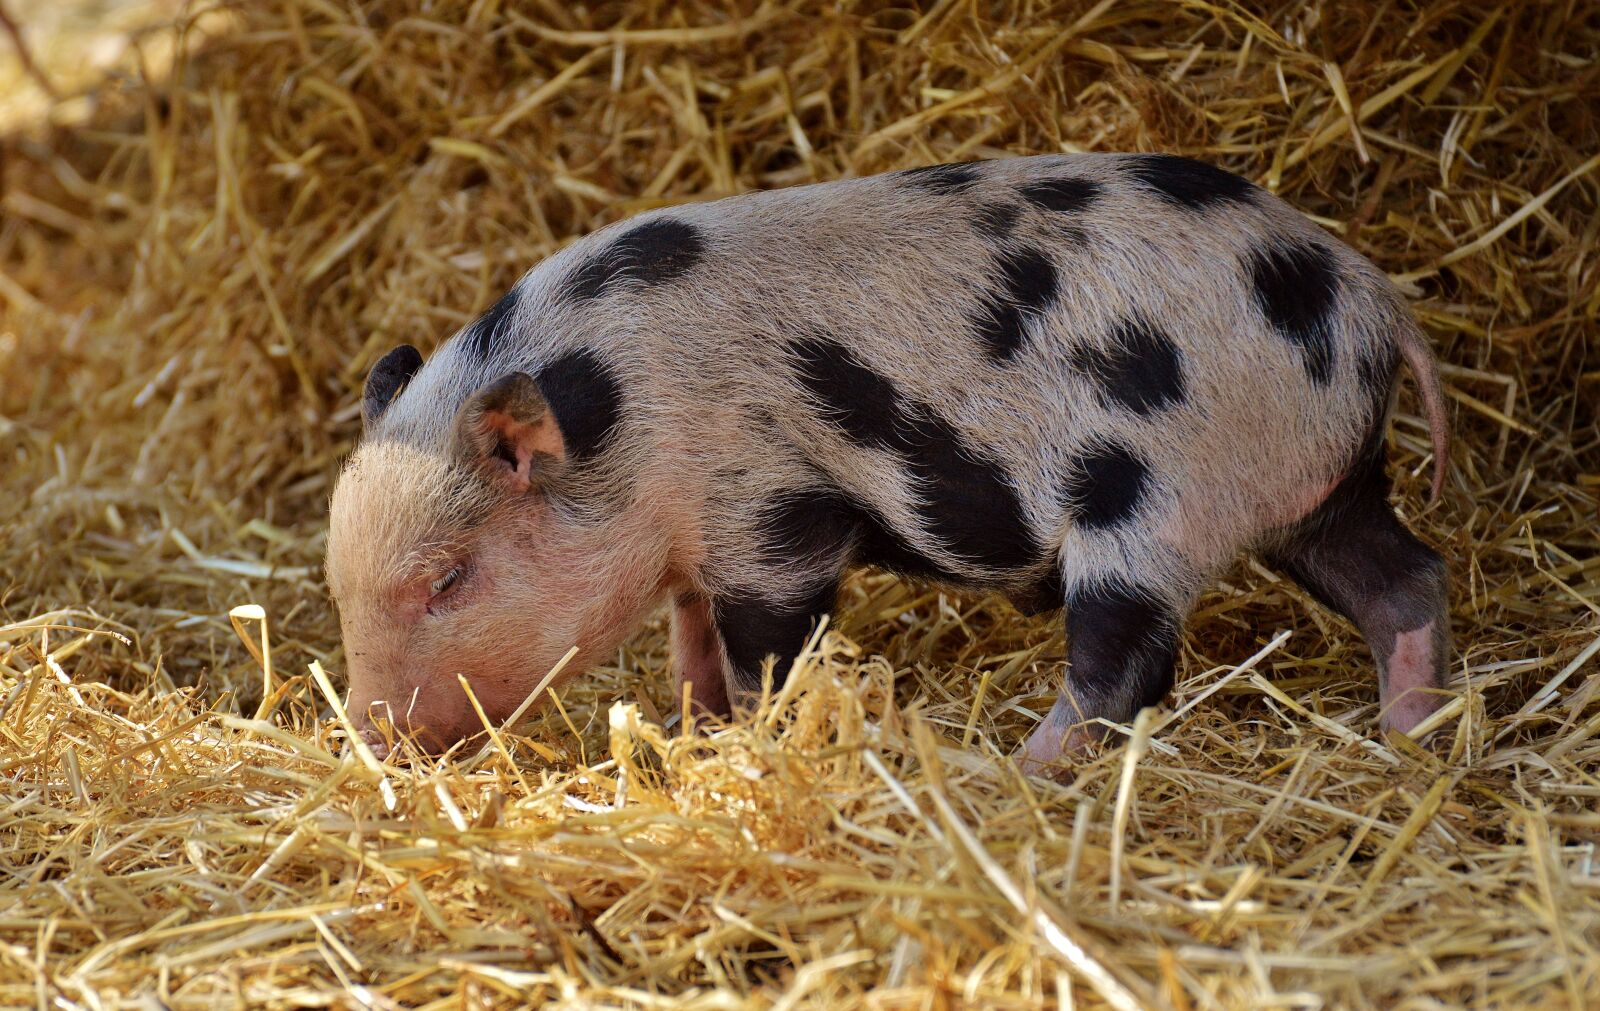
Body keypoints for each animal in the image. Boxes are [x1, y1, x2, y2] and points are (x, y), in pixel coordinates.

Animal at [323, 153, 1451, 773]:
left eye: (448, 578)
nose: (375, 740)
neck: (627, 423)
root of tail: (1367, 300)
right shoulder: (695, 549)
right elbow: (691, 641)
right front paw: (694, 731)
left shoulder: (769, 514)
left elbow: (767, 648)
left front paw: (757, 739)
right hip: (1314, 486)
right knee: (1407, 576)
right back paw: (1412, 736)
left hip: (1149, 505)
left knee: (1123, 663)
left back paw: (1014, 773)